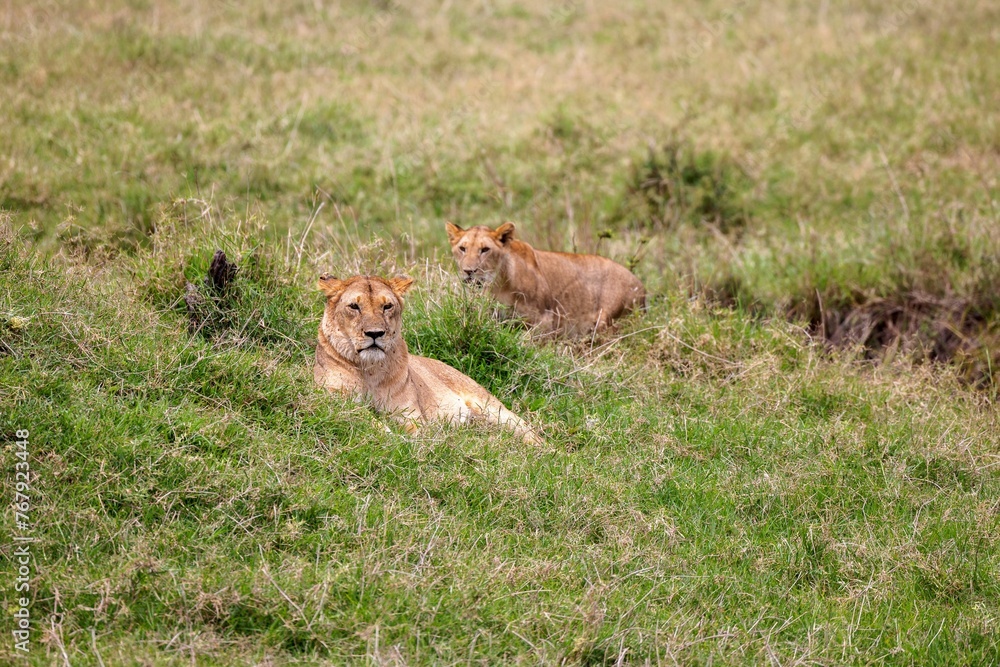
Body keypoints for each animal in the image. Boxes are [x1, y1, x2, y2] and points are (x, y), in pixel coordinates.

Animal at [314, 274, 542, 444]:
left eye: (387, 307)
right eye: (354, 306)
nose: (375, 333)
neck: (370, 369)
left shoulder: (408, 413)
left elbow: (417, 431)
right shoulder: (336, 400)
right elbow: (368, 420)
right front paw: (391, 437)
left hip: (493, 408)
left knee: (532, 435)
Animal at [445, 222, 646, 334]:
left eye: (485, 249)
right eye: (462, 248)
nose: (469, 271)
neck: (499, 285)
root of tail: (642, 286)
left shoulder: (545, 319)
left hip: (607, 320)